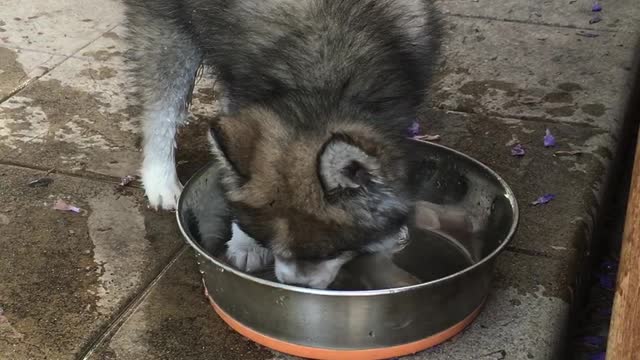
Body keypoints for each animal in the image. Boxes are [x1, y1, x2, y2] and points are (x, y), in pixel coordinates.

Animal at [122, 0, 438, 286]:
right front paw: (245, 244)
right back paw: (160, 180)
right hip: (168, 29)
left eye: (332, 251)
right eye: (266, 239)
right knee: (162, 106)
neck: (324, 86)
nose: (296, 286)